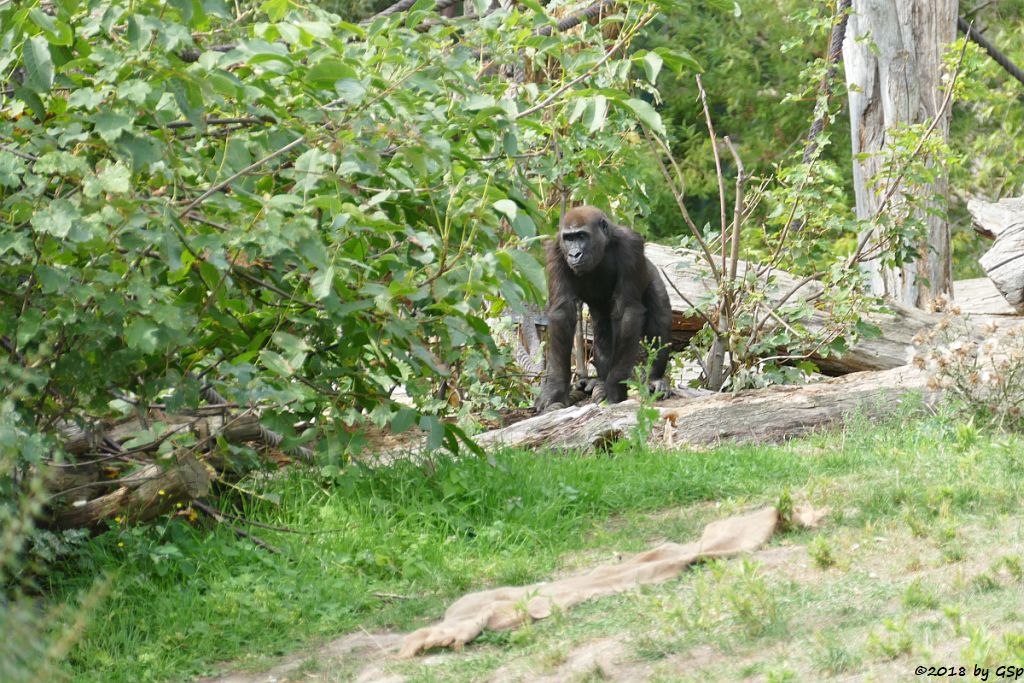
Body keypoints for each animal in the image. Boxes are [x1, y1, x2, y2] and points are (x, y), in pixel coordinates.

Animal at [536, 205, 671, 413]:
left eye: (581, 236)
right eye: (569, 238)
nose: (574, 255)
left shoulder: (630, 245)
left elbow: (627, 312)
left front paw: (614, 387)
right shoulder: (556, 251)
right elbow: (562, 313)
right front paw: (555, 389)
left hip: (653, 275)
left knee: (658, 317)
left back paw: (654, 378)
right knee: (602, 329)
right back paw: (599, 380)